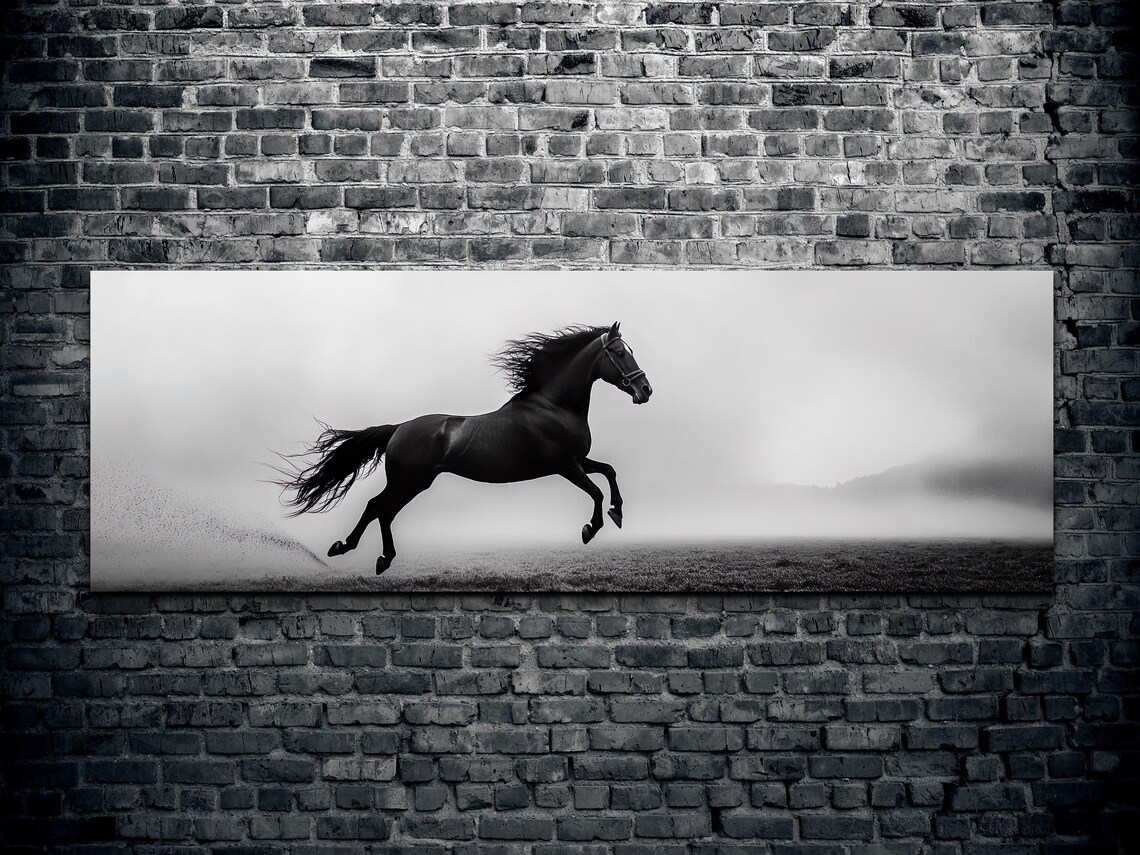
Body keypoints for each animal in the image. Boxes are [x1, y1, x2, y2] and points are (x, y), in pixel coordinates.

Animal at [276, 322, 653, 574]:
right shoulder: (566, 465)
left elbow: (609, 472)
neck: (552, 405)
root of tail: (399, 429)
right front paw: (591, 529)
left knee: (382, 510)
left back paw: (378, 557)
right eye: (621, 353)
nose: (645, 390)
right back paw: (351, 549)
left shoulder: (579, 460)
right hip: (410, 480)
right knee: (377, 507)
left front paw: (618, 512)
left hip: (414, 482)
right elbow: (596, 492)